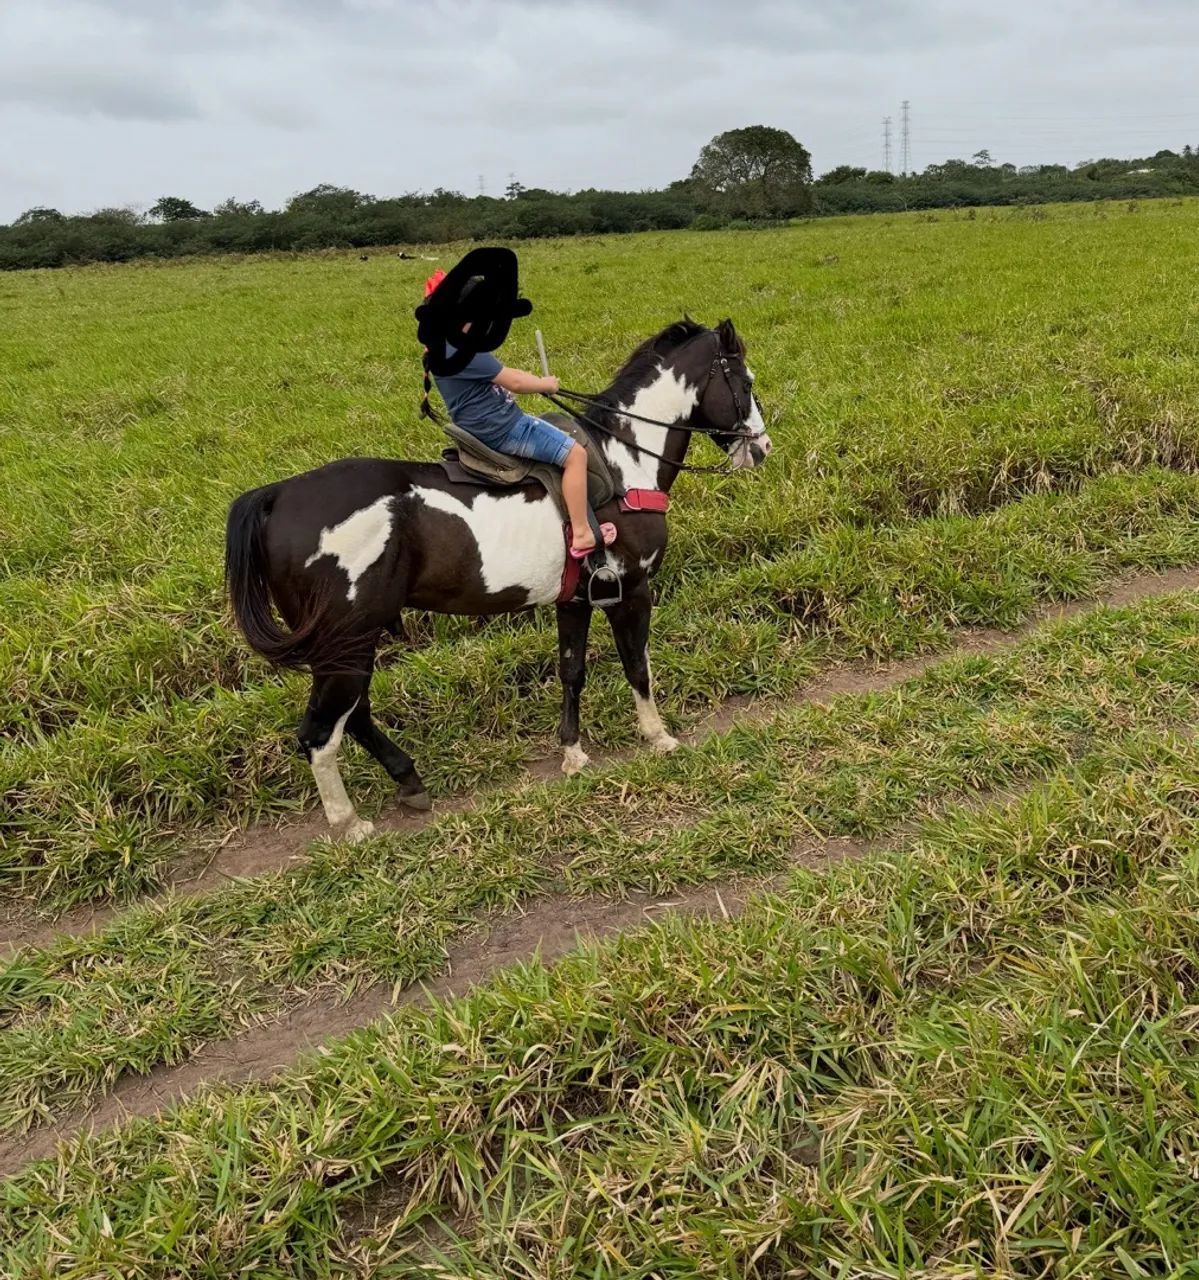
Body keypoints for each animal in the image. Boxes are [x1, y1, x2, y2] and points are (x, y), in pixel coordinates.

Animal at [224, 317, 773, 840]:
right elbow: (637, 667)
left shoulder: (576, 598)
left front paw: (573, 753)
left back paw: (409, 781)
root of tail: (277, 495)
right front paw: (659, 737)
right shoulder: (632, 591)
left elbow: (572, 671)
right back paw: (349, 822)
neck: (625, 460)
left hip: (347, 645)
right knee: (320, 732)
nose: (763, 448)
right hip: (348, 641)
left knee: (352, 715)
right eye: (745, 382)